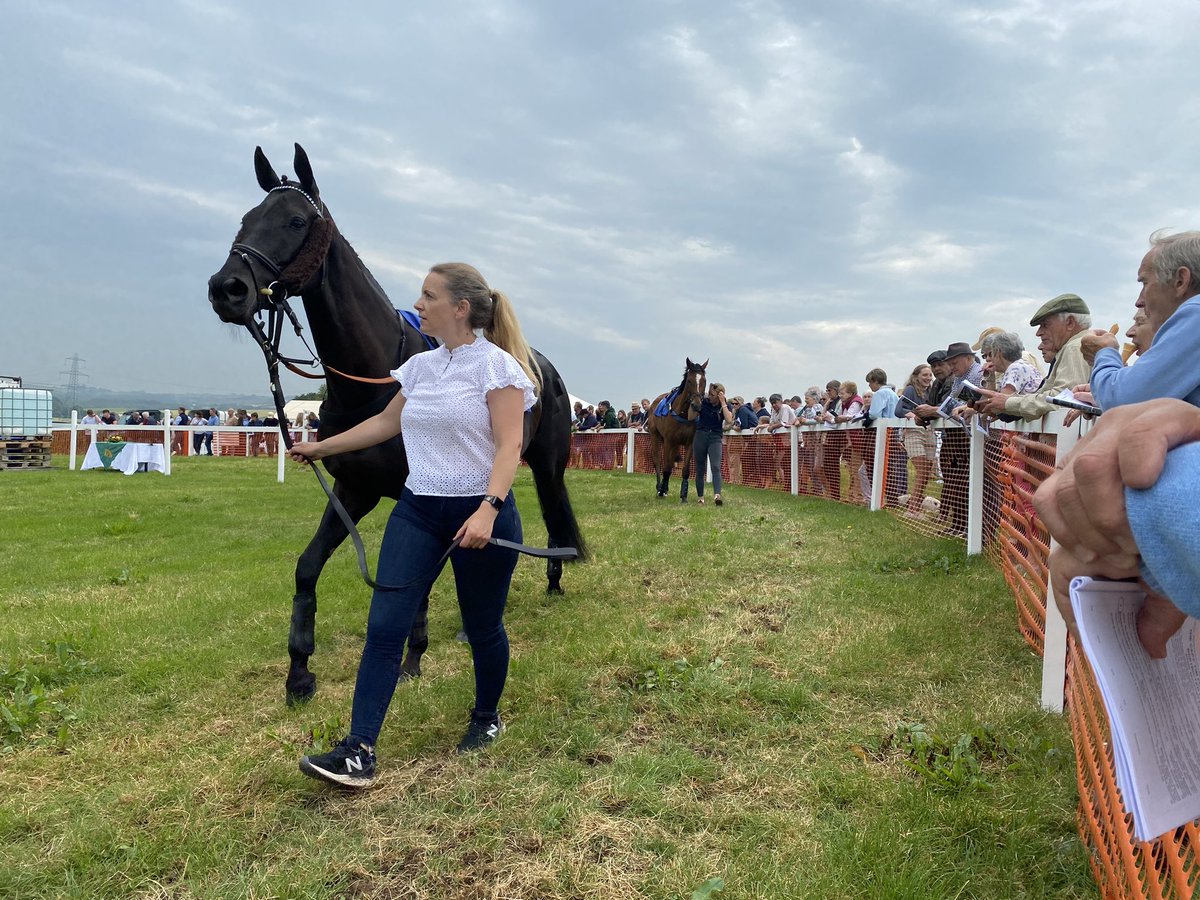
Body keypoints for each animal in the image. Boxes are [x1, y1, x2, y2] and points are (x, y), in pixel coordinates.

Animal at [208, 144, 588, 705]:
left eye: (295, 221)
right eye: (246, 218)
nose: (226, 289)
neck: (375, 379)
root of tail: (544, 367)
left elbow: (420, 582)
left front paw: (412, 658)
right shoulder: (354, 489)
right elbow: (308, 566)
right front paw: (299, 671)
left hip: (545, 465)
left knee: (549, 513)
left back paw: (554, 580)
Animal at [643, 357, 705, 501]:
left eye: (704, 381)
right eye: (689, 380)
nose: (697, 405)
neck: (683, 414)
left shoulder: (689, 443)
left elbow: (685, 470)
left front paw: (683, 495)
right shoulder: (668, 441)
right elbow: (666, 467)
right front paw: (661, 491)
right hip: (655, 436)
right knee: (657, 461)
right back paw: (659, 487)